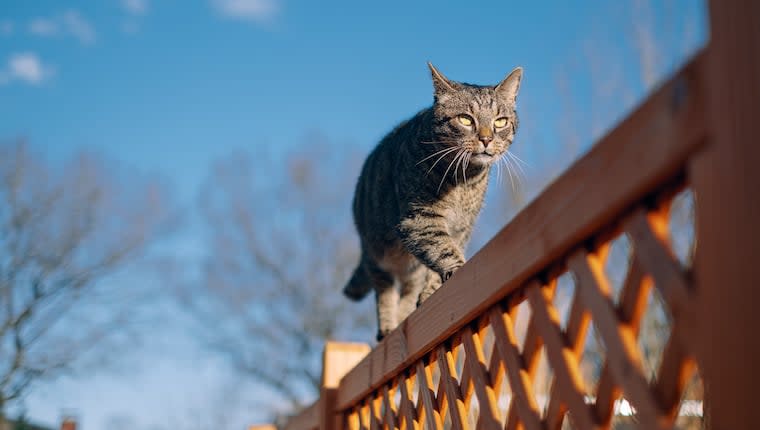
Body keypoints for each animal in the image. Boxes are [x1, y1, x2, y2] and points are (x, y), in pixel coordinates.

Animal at [344, 63, 524, 340]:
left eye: (500, 121)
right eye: (465, 119)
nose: (486, 139)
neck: (464, 181)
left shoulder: (462, 228)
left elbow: (439, 259)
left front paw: (432, 291)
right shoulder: (418, 218)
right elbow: (443, 248)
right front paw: (458, 269)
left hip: (407, 268)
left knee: (408, 290)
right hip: (376, 255)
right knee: (385, 291)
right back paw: (387, 326)